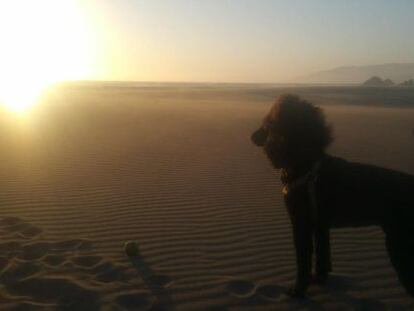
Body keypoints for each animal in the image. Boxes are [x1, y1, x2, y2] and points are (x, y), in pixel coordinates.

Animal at [249, 94, 414, 298]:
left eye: (268, 124)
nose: (252, 136)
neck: (306, 165)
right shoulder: (320, 225)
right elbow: (322, 256)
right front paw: (319, 280)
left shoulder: (301, 223)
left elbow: (303, 260)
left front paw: (298, 289)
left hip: (400, 246)